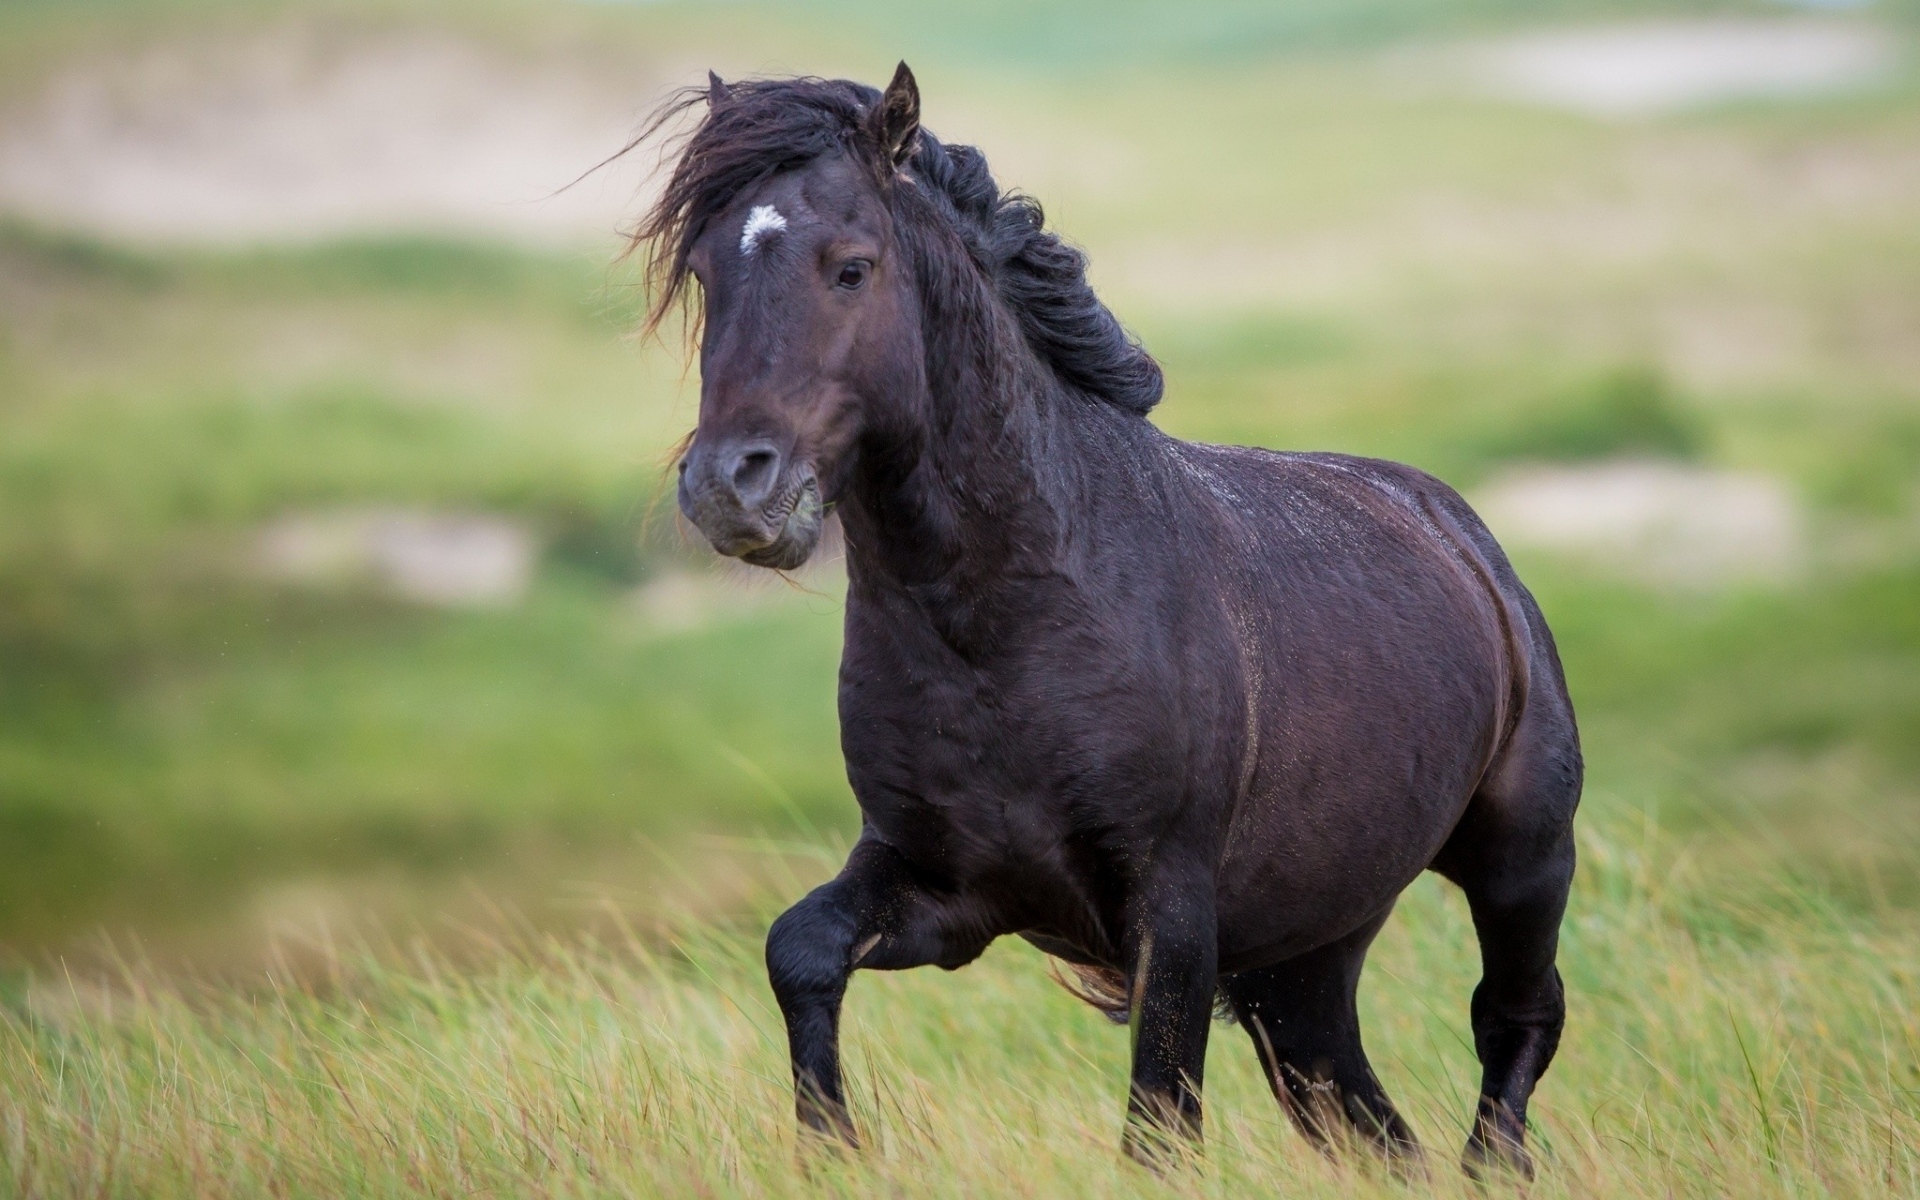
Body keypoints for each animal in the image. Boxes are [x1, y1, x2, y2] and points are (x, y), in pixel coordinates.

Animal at [628, 63, 1582, 1177]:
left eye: (850, 268)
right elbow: (800, 949)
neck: (1011, 621)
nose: (731, 490)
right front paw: (834, 1149)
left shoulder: (1169, 910)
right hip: (1307, 953)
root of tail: (1468, 543)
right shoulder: (948, 888)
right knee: (1353, 1100)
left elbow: (1160, 1124)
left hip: (1521, 857)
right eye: (704, 272)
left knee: (1514, 1022)